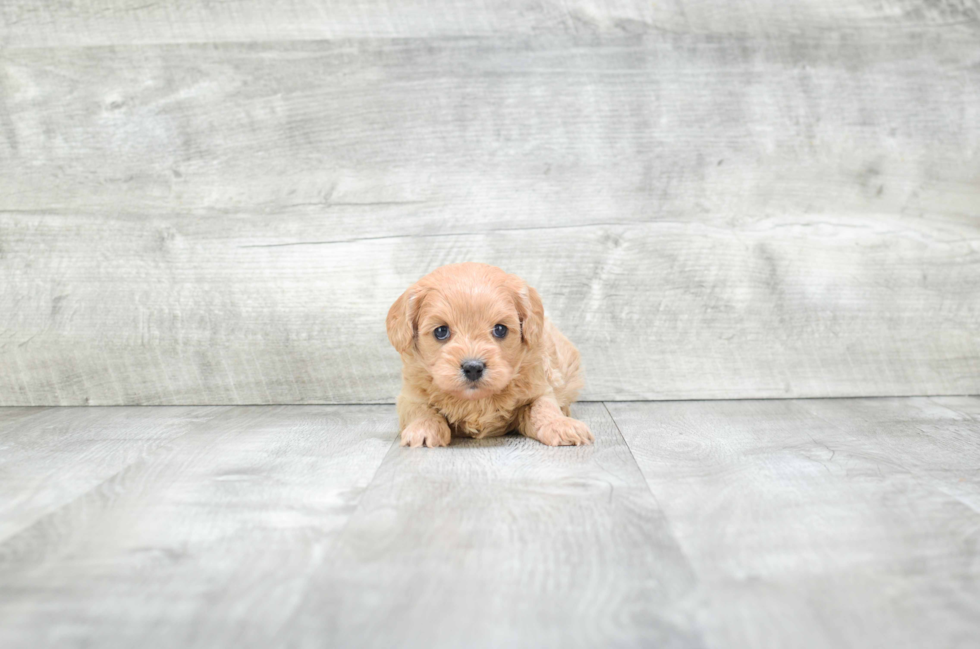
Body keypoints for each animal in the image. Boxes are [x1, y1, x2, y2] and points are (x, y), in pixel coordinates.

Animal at [386, 260, 592, 448]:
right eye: (441, 331)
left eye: (500, 329)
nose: (473, 368)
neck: (476, 400)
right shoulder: (411, 395)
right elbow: (420, 409)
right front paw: (424, 429)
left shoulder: (539, 388)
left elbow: (543, 407)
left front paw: (561, 425)